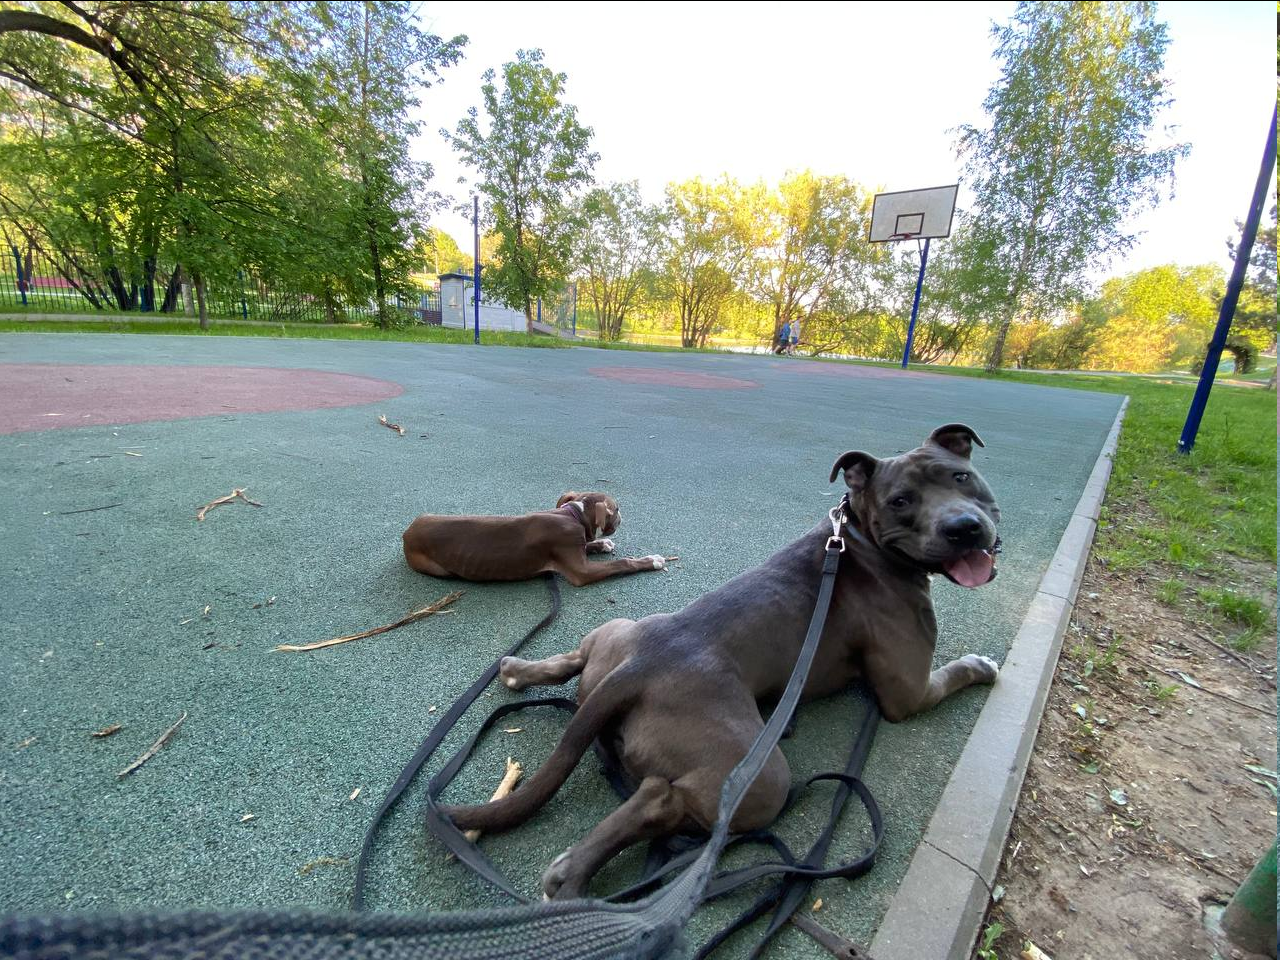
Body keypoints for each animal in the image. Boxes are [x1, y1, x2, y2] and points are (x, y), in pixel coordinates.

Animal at [402, 491, 668, 587]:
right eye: (618, 508)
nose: (623, 516)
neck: (573, 514)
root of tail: (408, 532)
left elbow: (588, 544)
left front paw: (601, 543)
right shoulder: (581, 571)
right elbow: (622, 563)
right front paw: (652, 560)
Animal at [440, 424, 1002, 899]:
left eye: (961, 477)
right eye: (900, 501)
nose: (963, 527)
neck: (856, 540)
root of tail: (636, 669)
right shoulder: (908, 692)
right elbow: (955, 672)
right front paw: (983, 665)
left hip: (619, 631)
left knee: (579, 663)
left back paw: (519, 670)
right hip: (760, 775)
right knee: (663, 798)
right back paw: (572, 877)